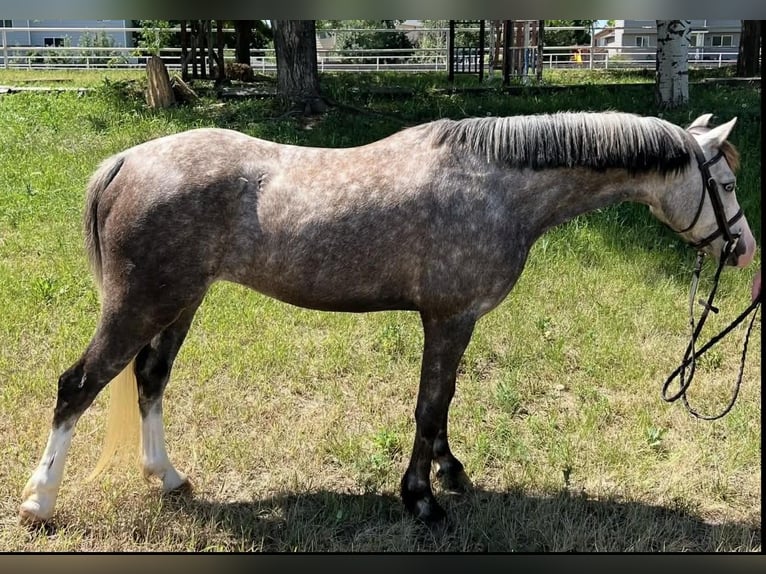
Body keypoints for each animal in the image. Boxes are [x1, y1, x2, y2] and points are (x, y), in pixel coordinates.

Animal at [19, 111, 756, 527]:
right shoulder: (450, 317)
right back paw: (39, 503)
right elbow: (430, 405)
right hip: (140, 304)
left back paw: (168, 478)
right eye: (722, 184)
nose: (743, 249)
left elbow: (444, 402)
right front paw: (422, 498)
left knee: (150, 378)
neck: (497, 183)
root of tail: (127, 161)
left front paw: (450, 473)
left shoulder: (454, 320)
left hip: (179, 304)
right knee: (77, 387)